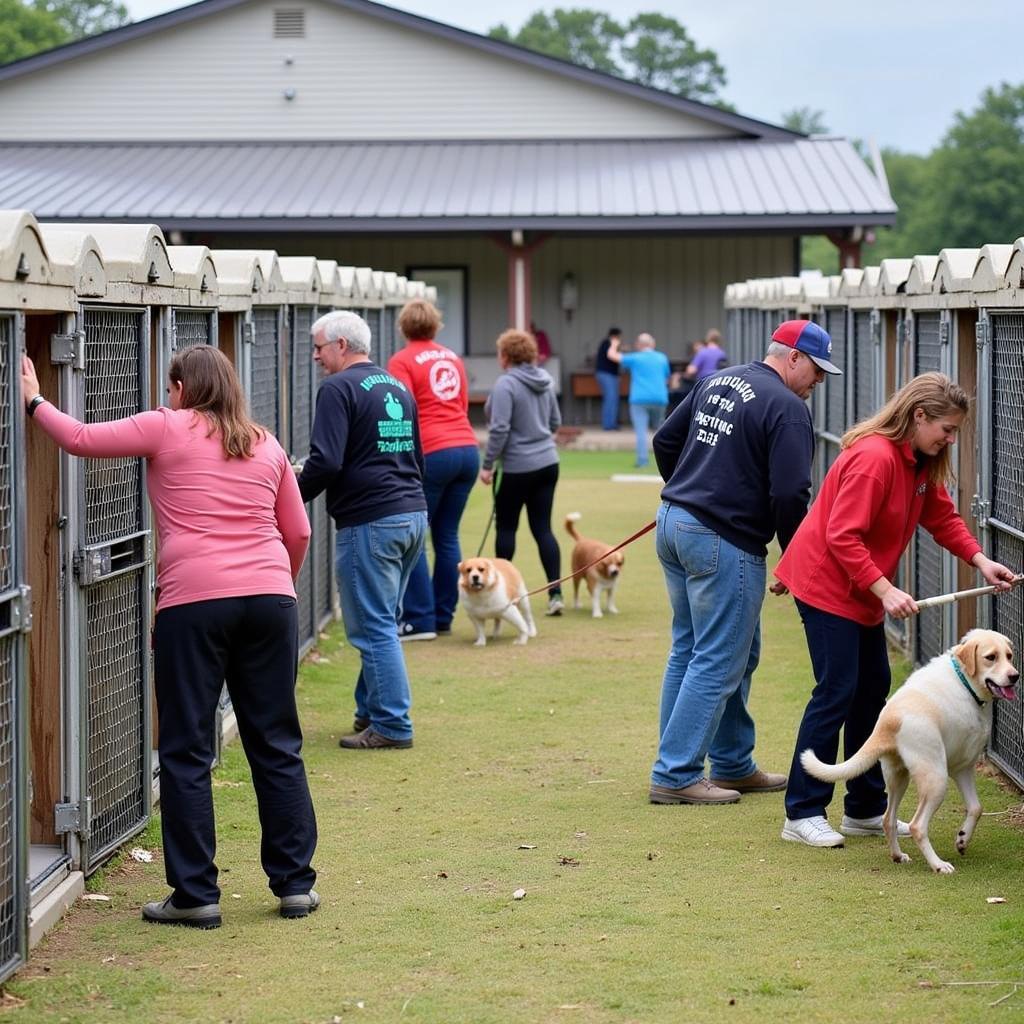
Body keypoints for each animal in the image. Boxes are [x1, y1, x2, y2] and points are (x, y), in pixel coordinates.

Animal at [802, 626, 1019, 876]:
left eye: (1009, 656)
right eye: (990, 657)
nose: (1014, 676)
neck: (963, 679)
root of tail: (889, 720)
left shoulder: (963, 769)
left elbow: (976, 808)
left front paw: (962, 839)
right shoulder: (960, 767)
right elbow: (974, 808)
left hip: (899, 778)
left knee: (888, 819)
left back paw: (898, 855)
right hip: (936, 780)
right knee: (918, 826)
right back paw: (938, 865)